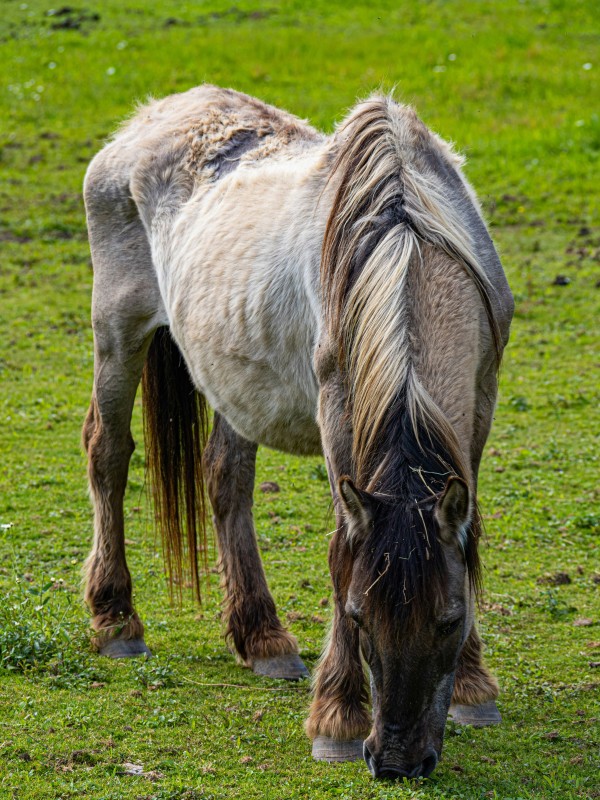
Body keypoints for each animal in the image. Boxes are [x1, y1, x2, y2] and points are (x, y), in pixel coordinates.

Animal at [81, 85, 513, 779]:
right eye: (359, 616)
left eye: (450, 620)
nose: (397, 760)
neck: (408, 242)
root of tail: (147, 120)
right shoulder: (339, 410)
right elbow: (343, 550)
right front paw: (336, 718)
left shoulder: (479, 402)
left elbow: (464, 537)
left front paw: (474, 687)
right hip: (117, 331)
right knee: (109, 454)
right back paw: (117, 620)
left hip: (230, 375)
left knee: (225, 479)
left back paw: (262, 638)